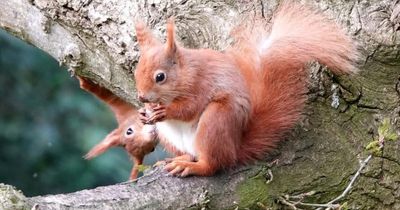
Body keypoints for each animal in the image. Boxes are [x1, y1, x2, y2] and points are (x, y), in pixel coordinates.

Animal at [133, 1, 358, 176]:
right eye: (135, 72)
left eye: (160, 77)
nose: (142, 97)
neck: (186, 71)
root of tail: (235, 148)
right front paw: (143, 113)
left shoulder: (202, 84)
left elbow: (189, 108)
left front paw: (166, 111)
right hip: (168, 135)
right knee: (191, 154)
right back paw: (177, 159)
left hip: (215, 121)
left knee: (213, 164)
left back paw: (194, 167)